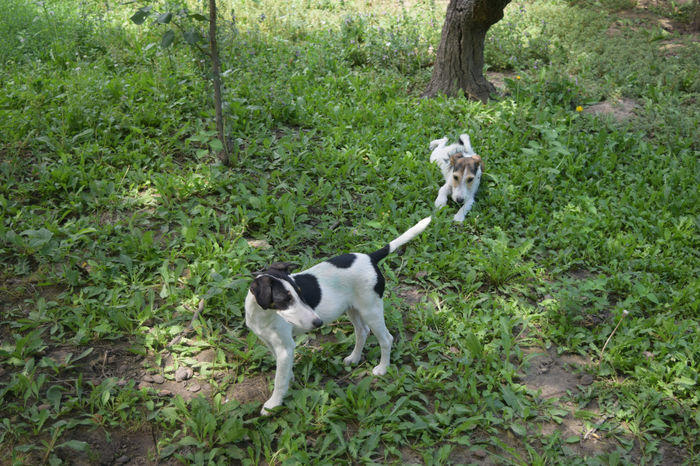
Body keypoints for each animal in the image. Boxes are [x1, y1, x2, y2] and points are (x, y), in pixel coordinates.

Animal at [246, 218, 432, 416]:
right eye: (285, 300)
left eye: (301, 294)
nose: (318, 322)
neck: (263, 315)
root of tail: (370, 258)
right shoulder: (270, 342)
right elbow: (281, 369)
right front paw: (290, 377)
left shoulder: (285, 347)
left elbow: (279, 380)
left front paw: (273, 404)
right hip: (353, 309)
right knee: (362, 331)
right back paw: (354, 358)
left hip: (371, 310)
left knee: (386, 339)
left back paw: (382, 368)